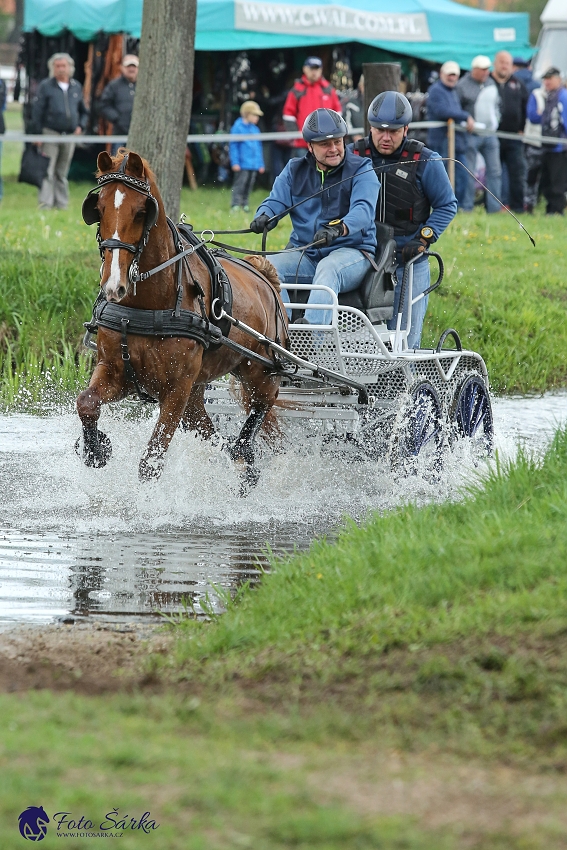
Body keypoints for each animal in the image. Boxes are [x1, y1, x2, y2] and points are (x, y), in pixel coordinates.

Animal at [76, 152, 288, 484]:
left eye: (141, 212)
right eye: (98, 209)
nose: (113, 285)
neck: (149, 305)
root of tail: (264, 277)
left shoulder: (176, 389)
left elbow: (151, 461)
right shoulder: (115, 372)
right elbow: (86, 403)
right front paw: (96, 449)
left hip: (261, 373)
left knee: (258, 414)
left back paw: (245, 463)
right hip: (198, 394)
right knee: (216, 435)